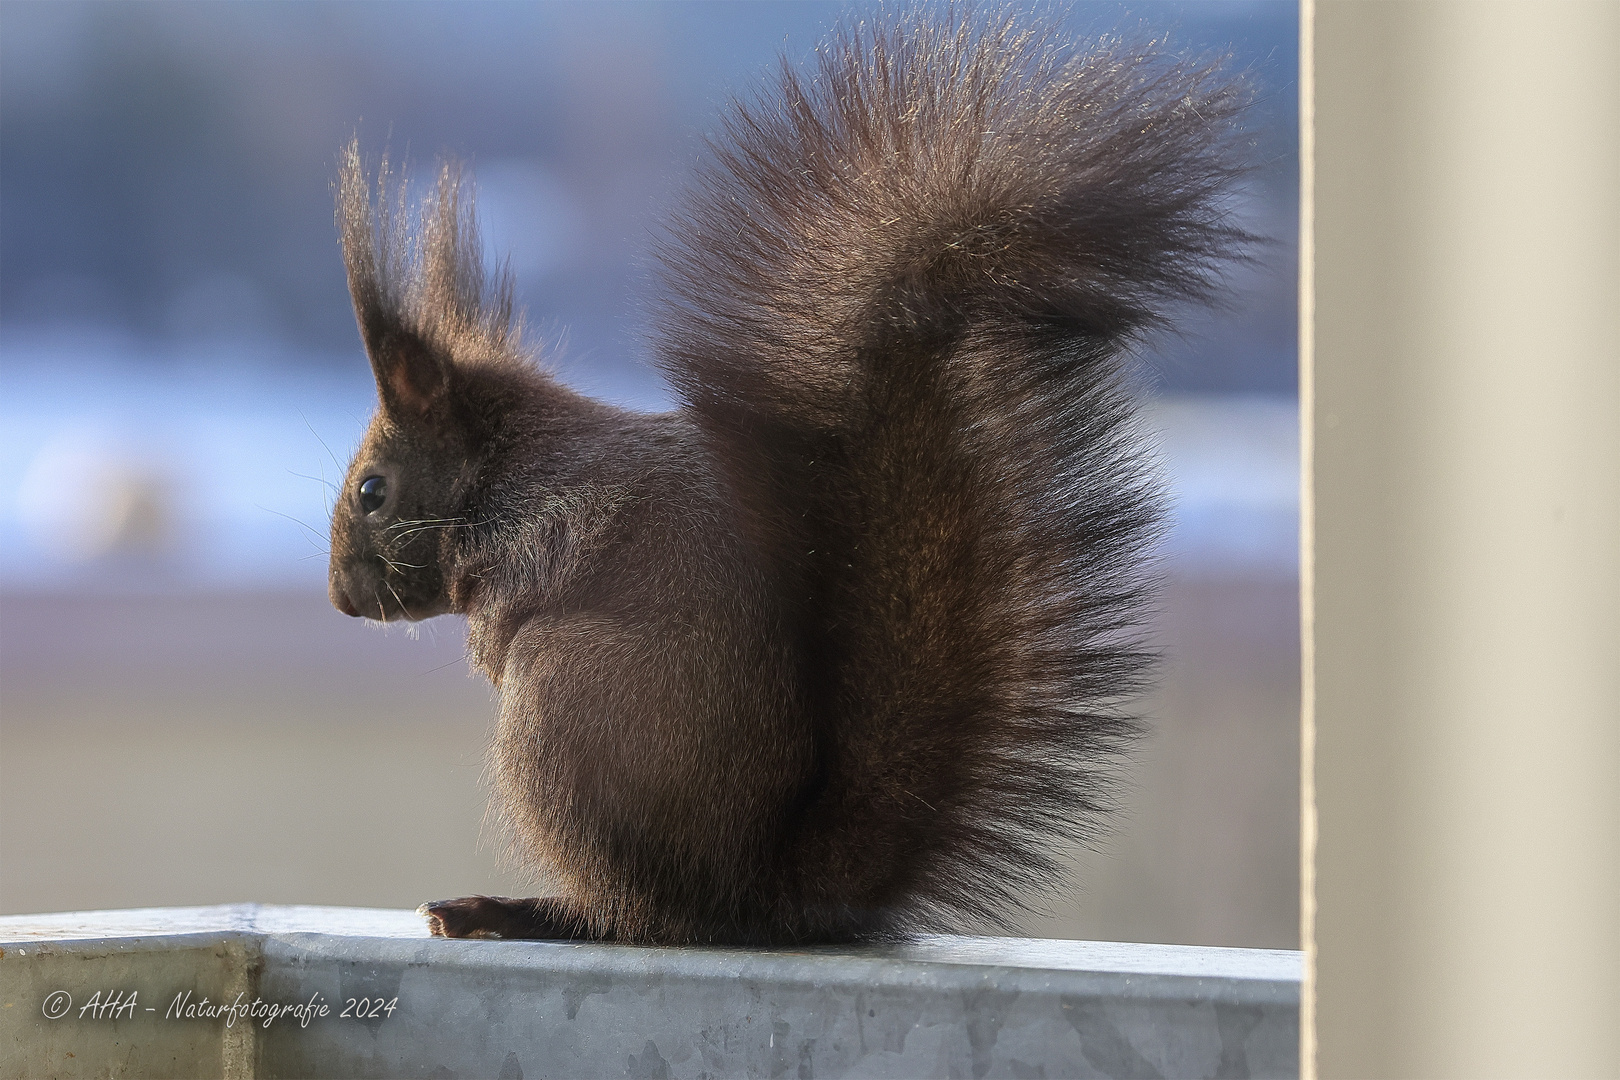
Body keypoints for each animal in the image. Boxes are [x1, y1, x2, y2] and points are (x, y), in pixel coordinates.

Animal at [322, 6, 1244, 945]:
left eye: (372, 491)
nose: (343, 601)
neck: (506, 467)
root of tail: (760, 895)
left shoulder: (555, 519)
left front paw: (482, 645)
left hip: (565, 705)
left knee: (641, 915)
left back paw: (518, 910)